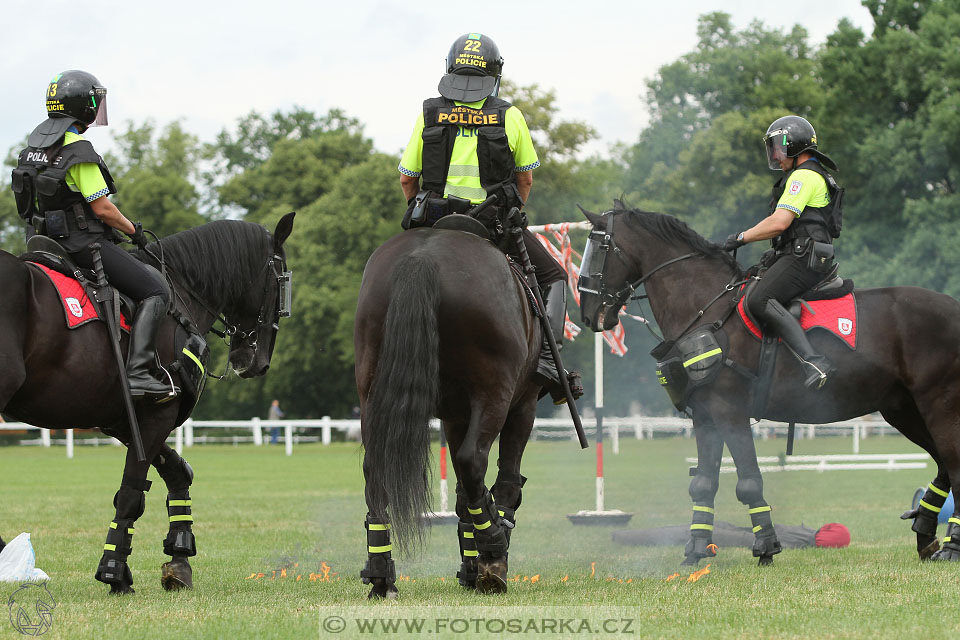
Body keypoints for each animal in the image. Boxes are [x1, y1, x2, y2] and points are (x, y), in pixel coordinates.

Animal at [0, 212, 292, 592]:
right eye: (283, 283)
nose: (257, 363)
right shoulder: (157, 414)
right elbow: (131, 494)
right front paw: (114, 569)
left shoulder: (124, 421)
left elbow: (177, 472)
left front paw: (179, 557)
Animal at [354, 228, 548, 596]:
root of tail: (422, 258)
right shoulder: (523, 404)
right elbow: (504, 480)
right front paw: (488, 561)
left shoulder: (456, 416)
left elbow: (462, 497)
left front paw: (471, 568)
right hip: (495, 393)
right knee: (473, 461)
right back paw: (494, 545)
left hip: (372, 393)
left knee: (375, 467)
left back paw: (382, 574)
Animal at [576, 204, 960, 564]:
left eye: (599, 246)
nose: (587, 313)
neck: (708, 310)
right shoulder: (705, 418)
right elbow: (703, 483)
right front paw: (696, 549)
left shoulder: (731, 414)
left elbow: (748, 481)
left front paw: (766, 546)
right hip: (904, 411)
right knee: (944, 465)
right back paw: (926, 532)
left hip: (939, 406)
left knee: (954, 464)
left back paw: (951, 546)